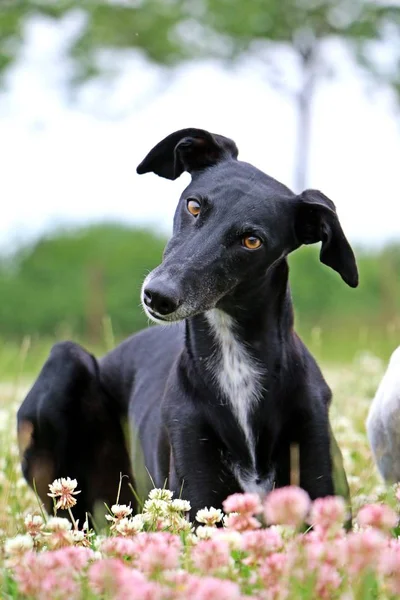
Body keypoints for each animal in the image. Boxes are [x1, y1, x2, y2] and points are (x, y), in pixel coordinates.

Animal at [17, 129, 358, 524]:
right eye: (194, 206)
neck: (235, 366)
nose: (158, 296)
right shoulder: (196, 499)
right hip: (66, 365)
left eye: (252, 240)